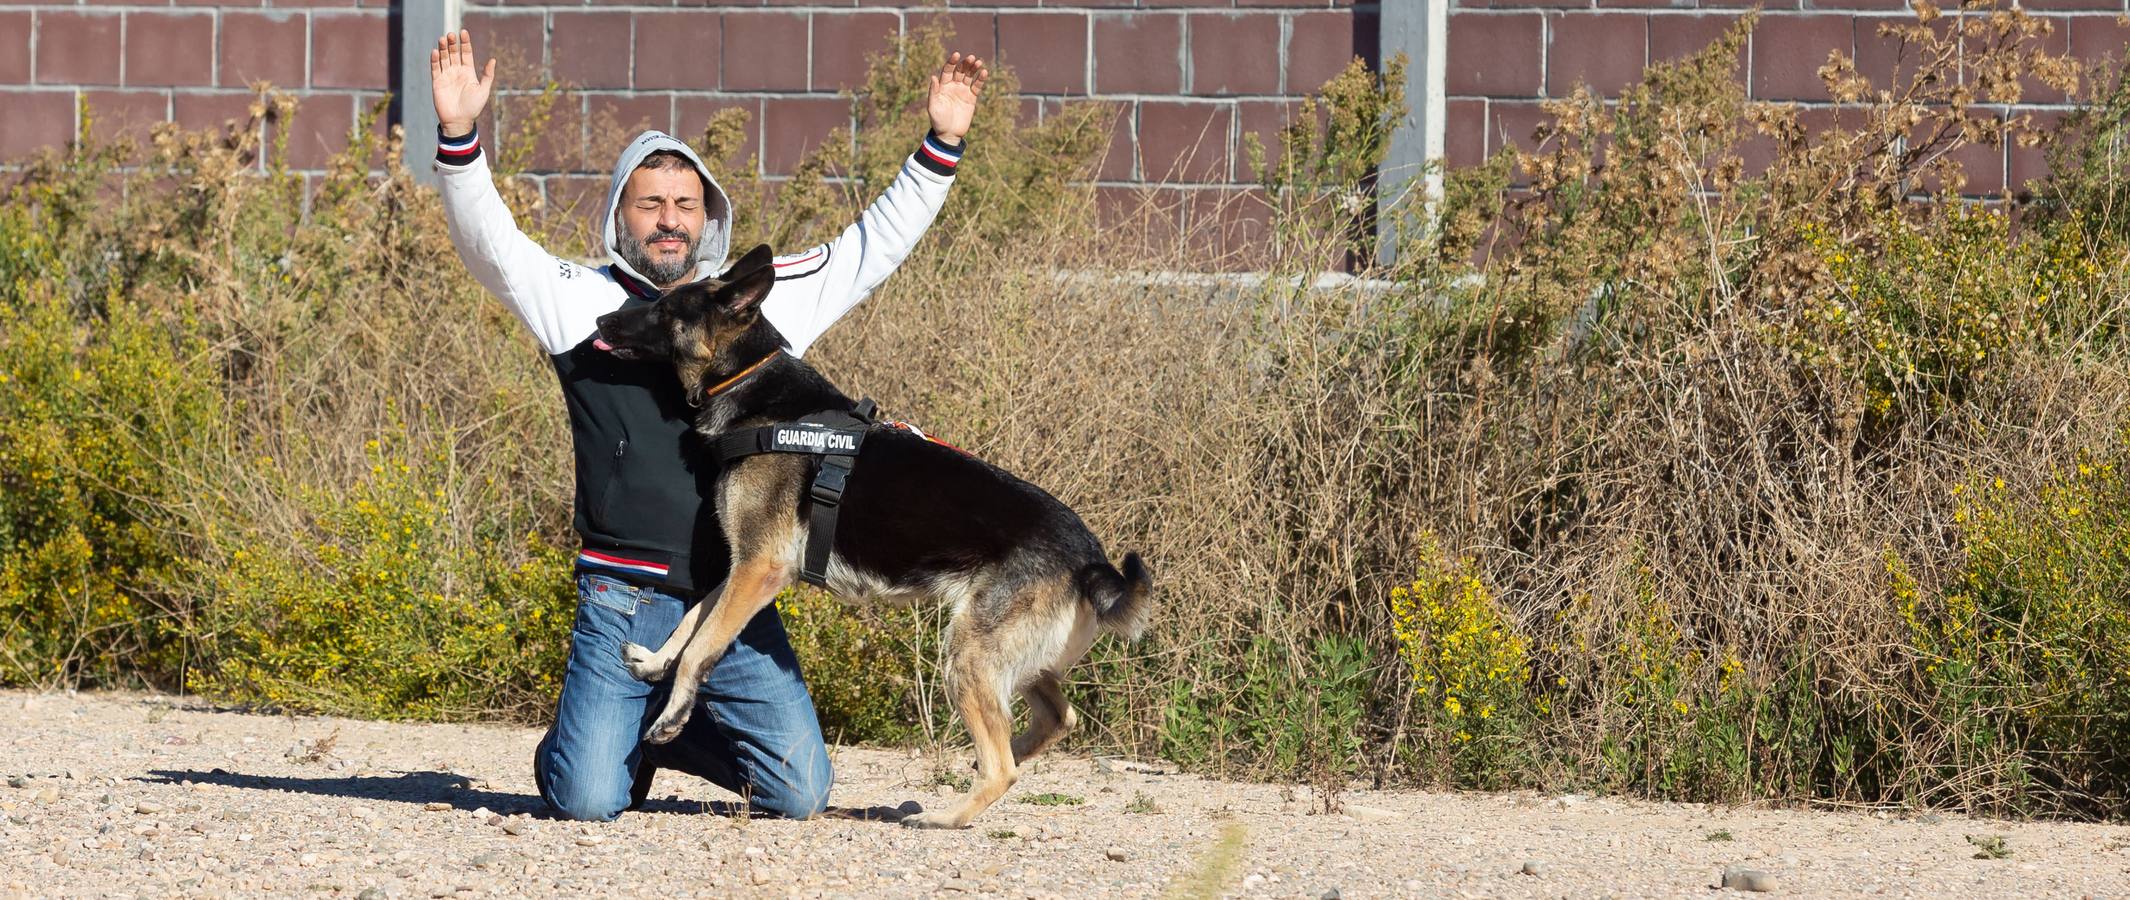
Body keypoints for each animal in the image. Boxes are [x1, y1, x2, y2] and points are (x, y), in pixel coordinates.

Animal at [592, 244, 1158, 829]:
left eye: (664, 309)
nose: (599, 321)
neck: (747, 381)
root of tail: (1093, 563)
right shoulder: (742, 567)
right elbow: (691, 621)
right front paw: (655, 661)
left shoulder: (759, 568)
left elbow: (703, 645)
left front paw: (672, 716)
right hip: (1011, 658)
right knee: (1057, 718)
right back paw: (1006, 757)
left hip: (969, 654)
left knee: (1003, 765)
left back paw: (946, 815)